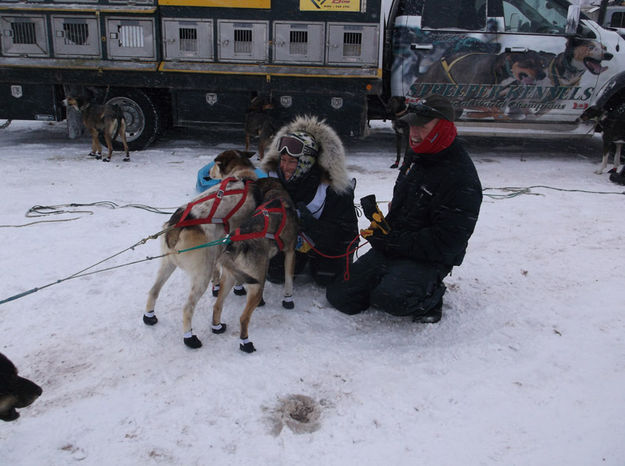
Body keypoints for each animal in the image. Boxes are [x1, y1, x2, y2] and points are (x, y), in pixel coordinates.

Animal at [142, 149, 260, 350]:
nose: (209, 173)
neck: (241, 175)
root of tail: (176, 224)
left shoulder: (219, 242)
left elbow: (219, 268)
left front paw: (218, 284)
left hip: (167, 264)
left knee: (153, 291)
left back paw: (149, 316)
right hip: (200, 275)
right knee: (187, 307)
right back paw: (191, 337)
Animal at [213, 178, 298, 354]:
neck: (276, 193)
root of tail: (235, 244)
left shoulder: (265, 263)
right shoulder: (291, 252)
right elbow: (288, 278)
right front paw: (288, 298)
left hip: (229, 279)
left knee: (217, 306)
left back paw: (217, 327)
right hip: (253, 285)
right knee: (243, 318)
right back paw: (246, 343)